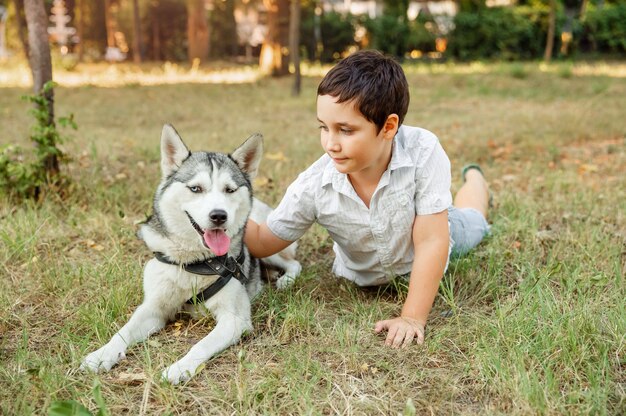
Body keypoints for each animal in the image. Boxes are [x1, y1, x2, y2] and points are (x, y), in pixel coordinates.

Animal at [80, 125, 300, 386]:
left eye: (229, 190)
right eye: (196, 188)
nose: (219, 215)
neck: (197, 262)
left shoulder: (234, 320)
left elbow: (201, 345)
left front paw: (180, 367)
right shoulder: (154, 309)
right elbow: (122, 332)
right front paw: (101, 355)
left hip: (267, 246)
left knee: (294, 262)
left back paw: (285, 280)